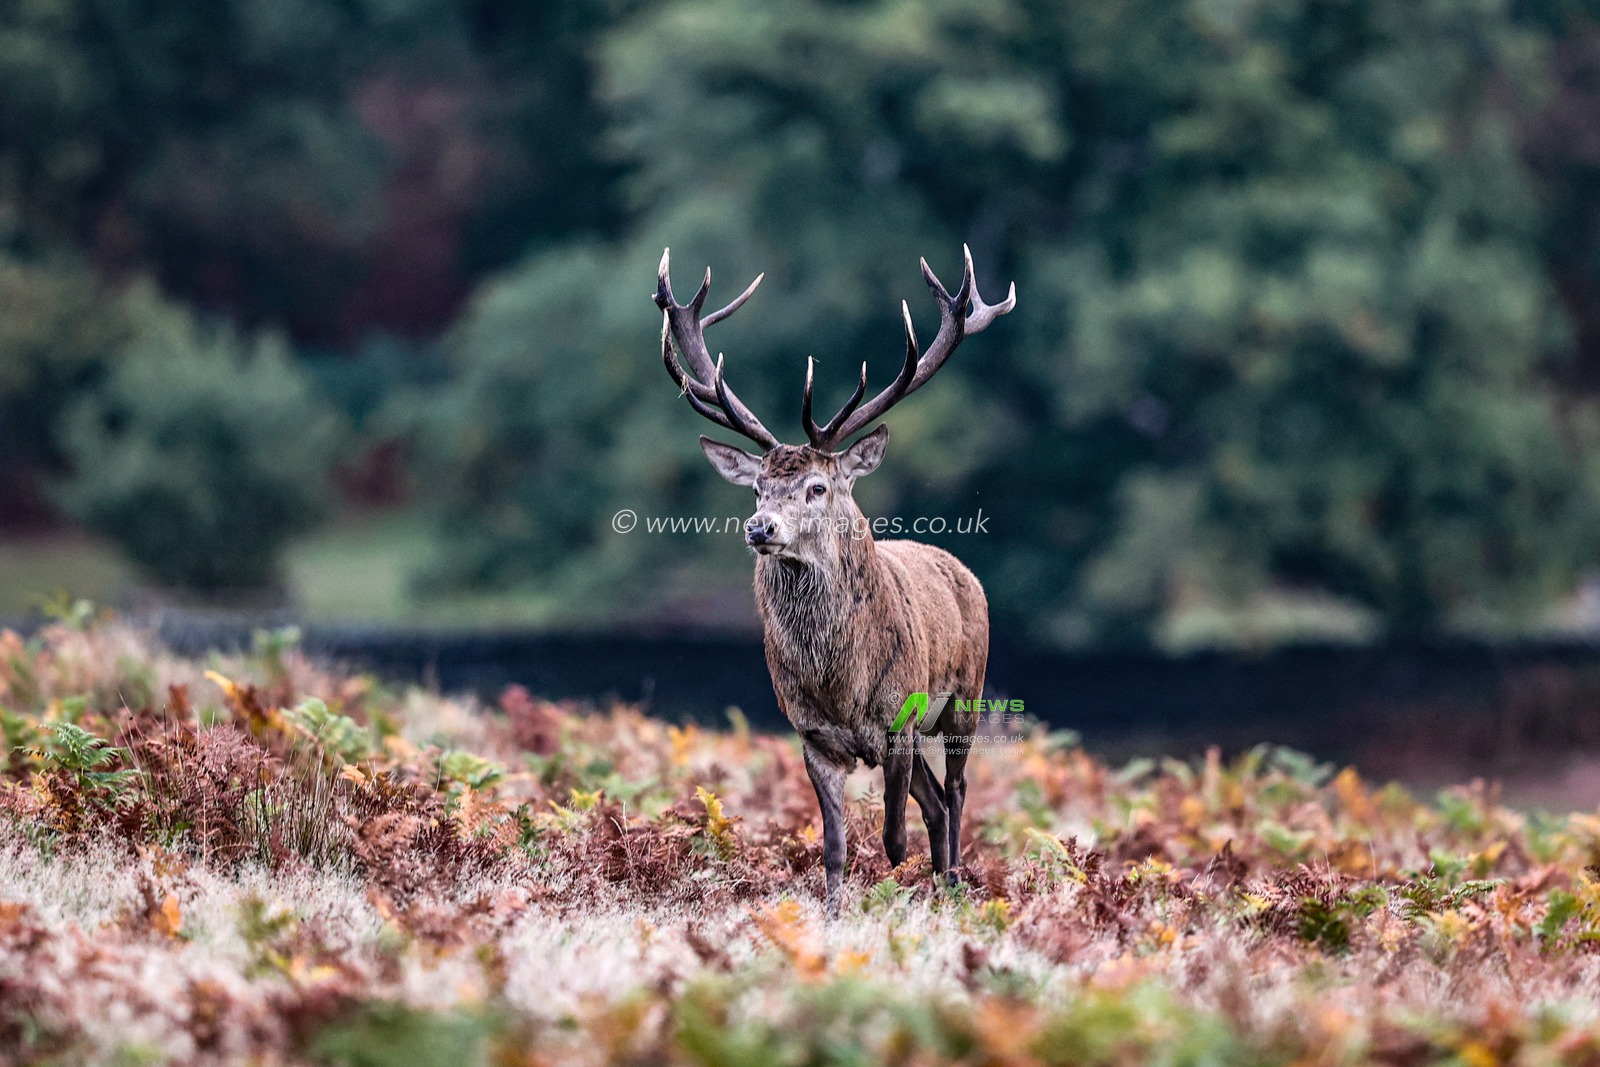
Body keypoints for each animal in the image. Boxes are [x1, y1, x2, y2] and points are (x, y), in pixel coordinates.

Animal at [653, 245, 1015, 915]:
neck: (843, 684)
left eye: (817, 487)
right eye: (758, 487)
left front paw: (905, 890)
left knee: (954, 792)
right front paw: (833, 915)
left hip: (966, 698)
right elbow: (835, 846)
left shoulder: (901, 717)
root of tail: (964, 570)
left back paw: (954, 882)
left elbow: (895, 835)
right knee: (935, 800)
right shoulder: (811, 735)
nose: (760, 527)